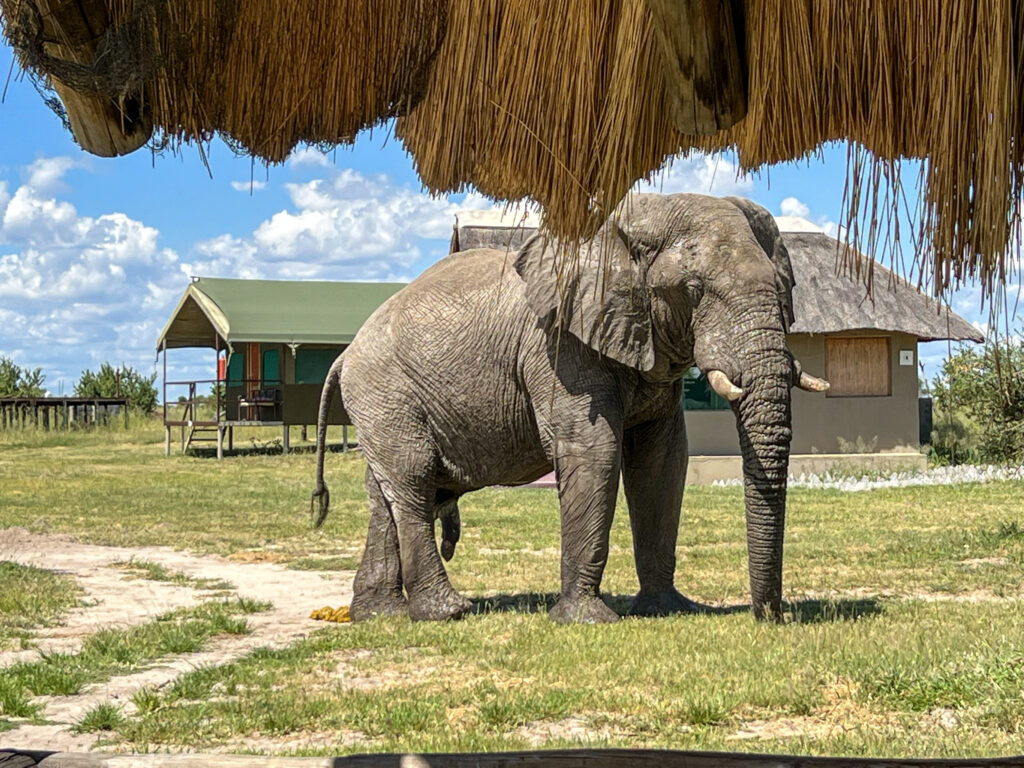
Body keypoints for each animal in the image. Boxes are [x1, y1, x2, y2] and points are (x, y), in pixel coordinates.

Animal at [311, 193, 829, 624]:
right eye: (695, 289)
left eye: (783, 290)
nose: (771, 617)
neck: (632, 218)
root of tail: (343, 355)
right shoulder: (559, 349)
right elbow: (593, 449)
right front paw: (588, 621)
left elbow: (661, 461)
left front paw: (668, 608)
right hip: (386, 394)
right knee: (413, 482)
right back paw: (448, 612)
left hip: (381, 403)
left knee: (385, 496)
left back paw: (380, 615)